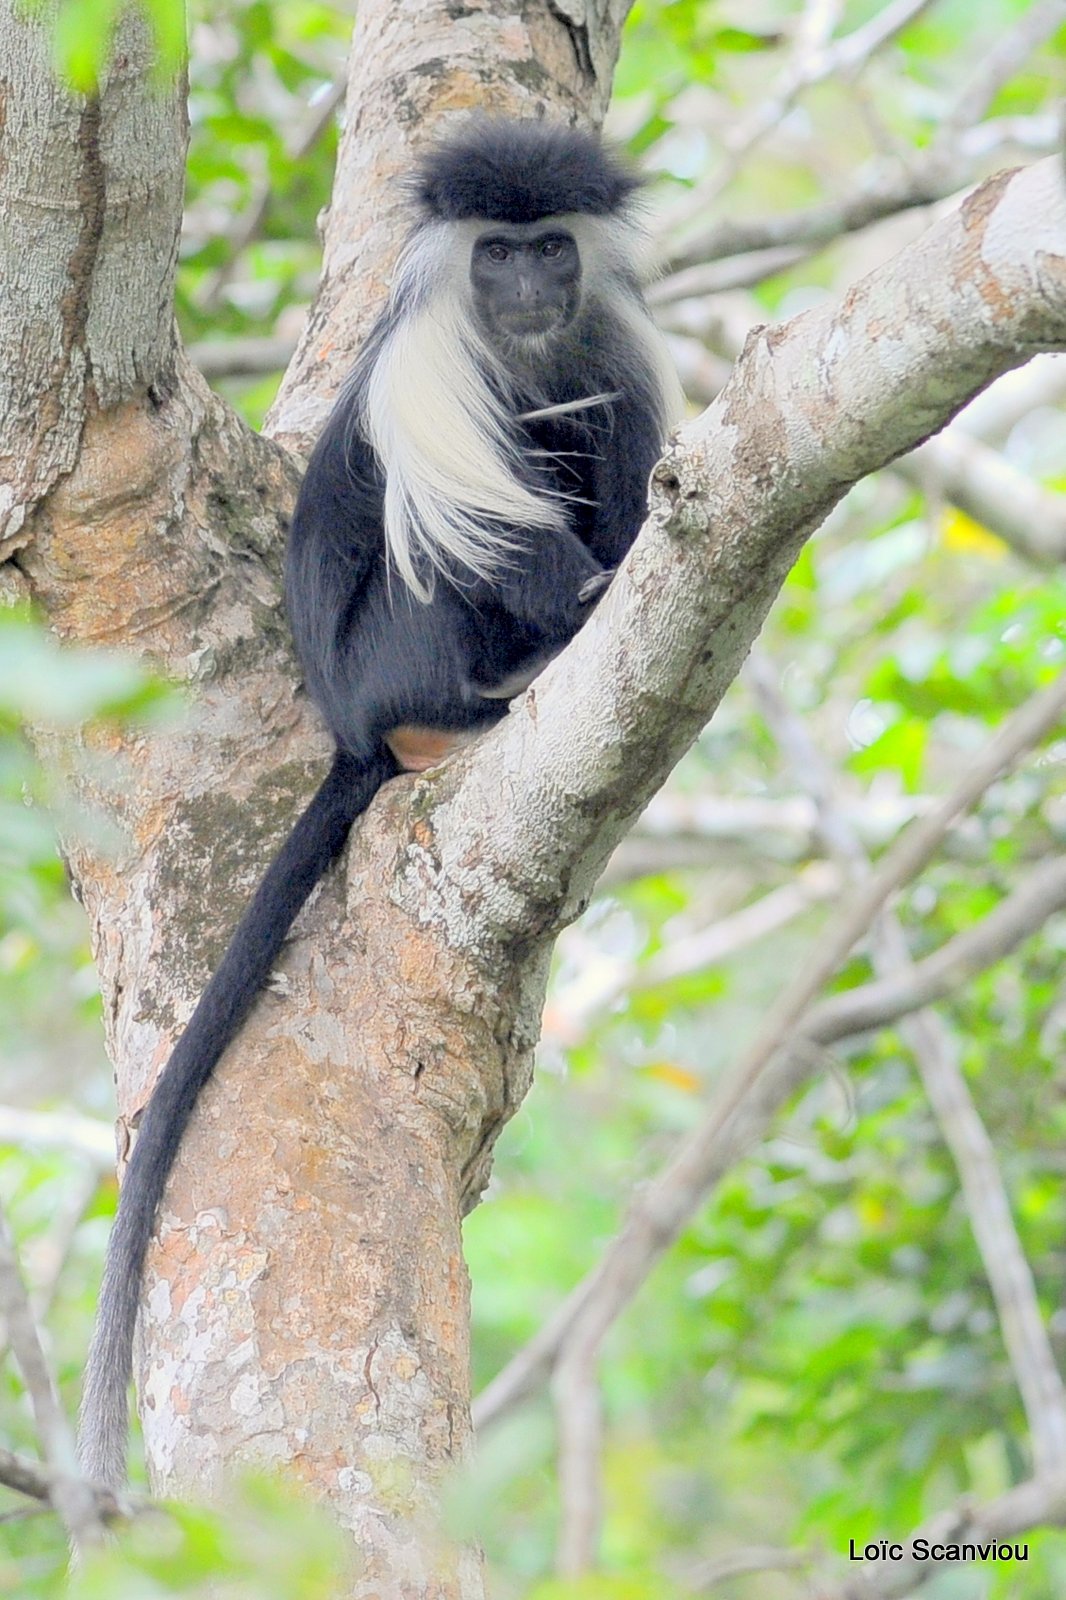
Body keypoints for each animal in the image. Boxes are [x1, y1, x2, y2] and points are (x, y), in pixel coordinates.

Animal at [80, 116, 681, 1484]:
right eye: (496, 252)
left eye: (550, 248)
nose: (525, 285)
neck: (523, 342)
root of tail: (353, 726)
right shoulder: (431, 367)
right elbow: (496, 533)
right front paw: (590, 590)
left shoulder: (613, 342)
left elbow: (617, 456)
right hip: (396, 650)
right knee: (452, 539)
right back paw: (495, 688)